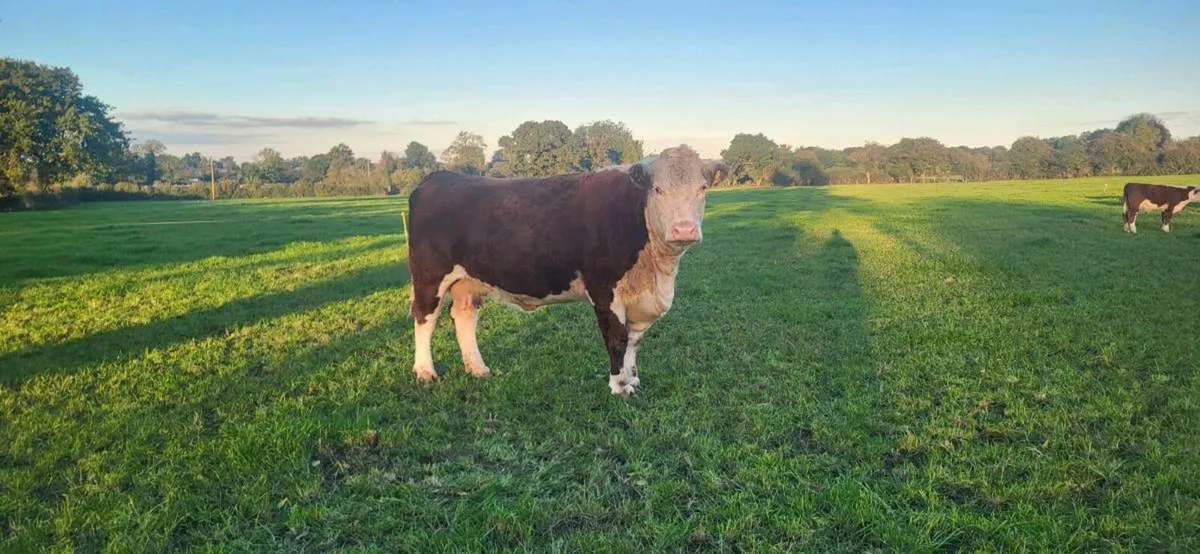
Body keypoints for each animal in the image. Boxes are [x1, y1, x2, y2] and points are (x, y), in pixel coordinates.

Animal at [405, 145, 729, 395]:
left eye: (702, 188)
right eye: (658, 189)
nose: (684, 229)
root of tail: (439, 177)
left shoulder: (639, 297)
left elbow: (633, 341)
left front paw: (633, 380)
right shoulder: (604, 289)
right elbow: (617, 338)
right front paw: (619, 387)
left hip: (468, 281)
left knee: (464, 317)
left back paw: (478, 369)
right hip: (429, 276)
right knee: (425, 318)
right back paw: (424, 372)